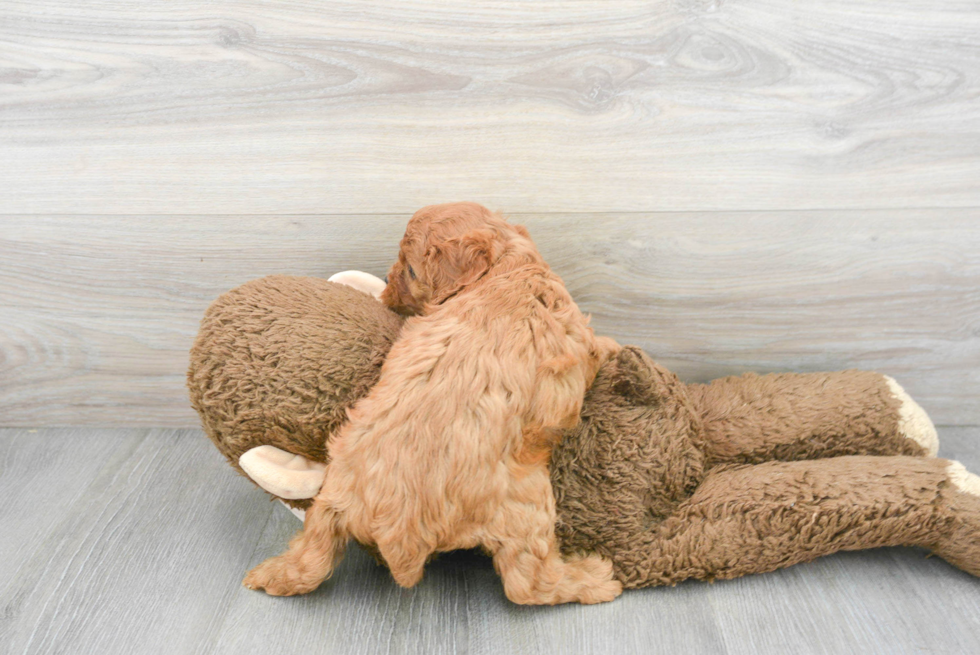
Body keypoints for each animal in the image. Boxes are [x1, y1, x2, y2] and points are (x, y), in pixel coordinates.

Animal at [249, 201, 624, 604]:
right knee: (528, 583)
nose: (387, 281)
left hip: (330, 497)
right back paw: (595, 577)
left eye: (411, 269)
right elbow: (599, 347)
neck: (503, 269)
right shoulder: (578, 338)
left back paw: (271, 574)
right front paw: (615, 346)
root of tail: (397, 527)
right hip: (527, 505)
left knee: (312, 555)